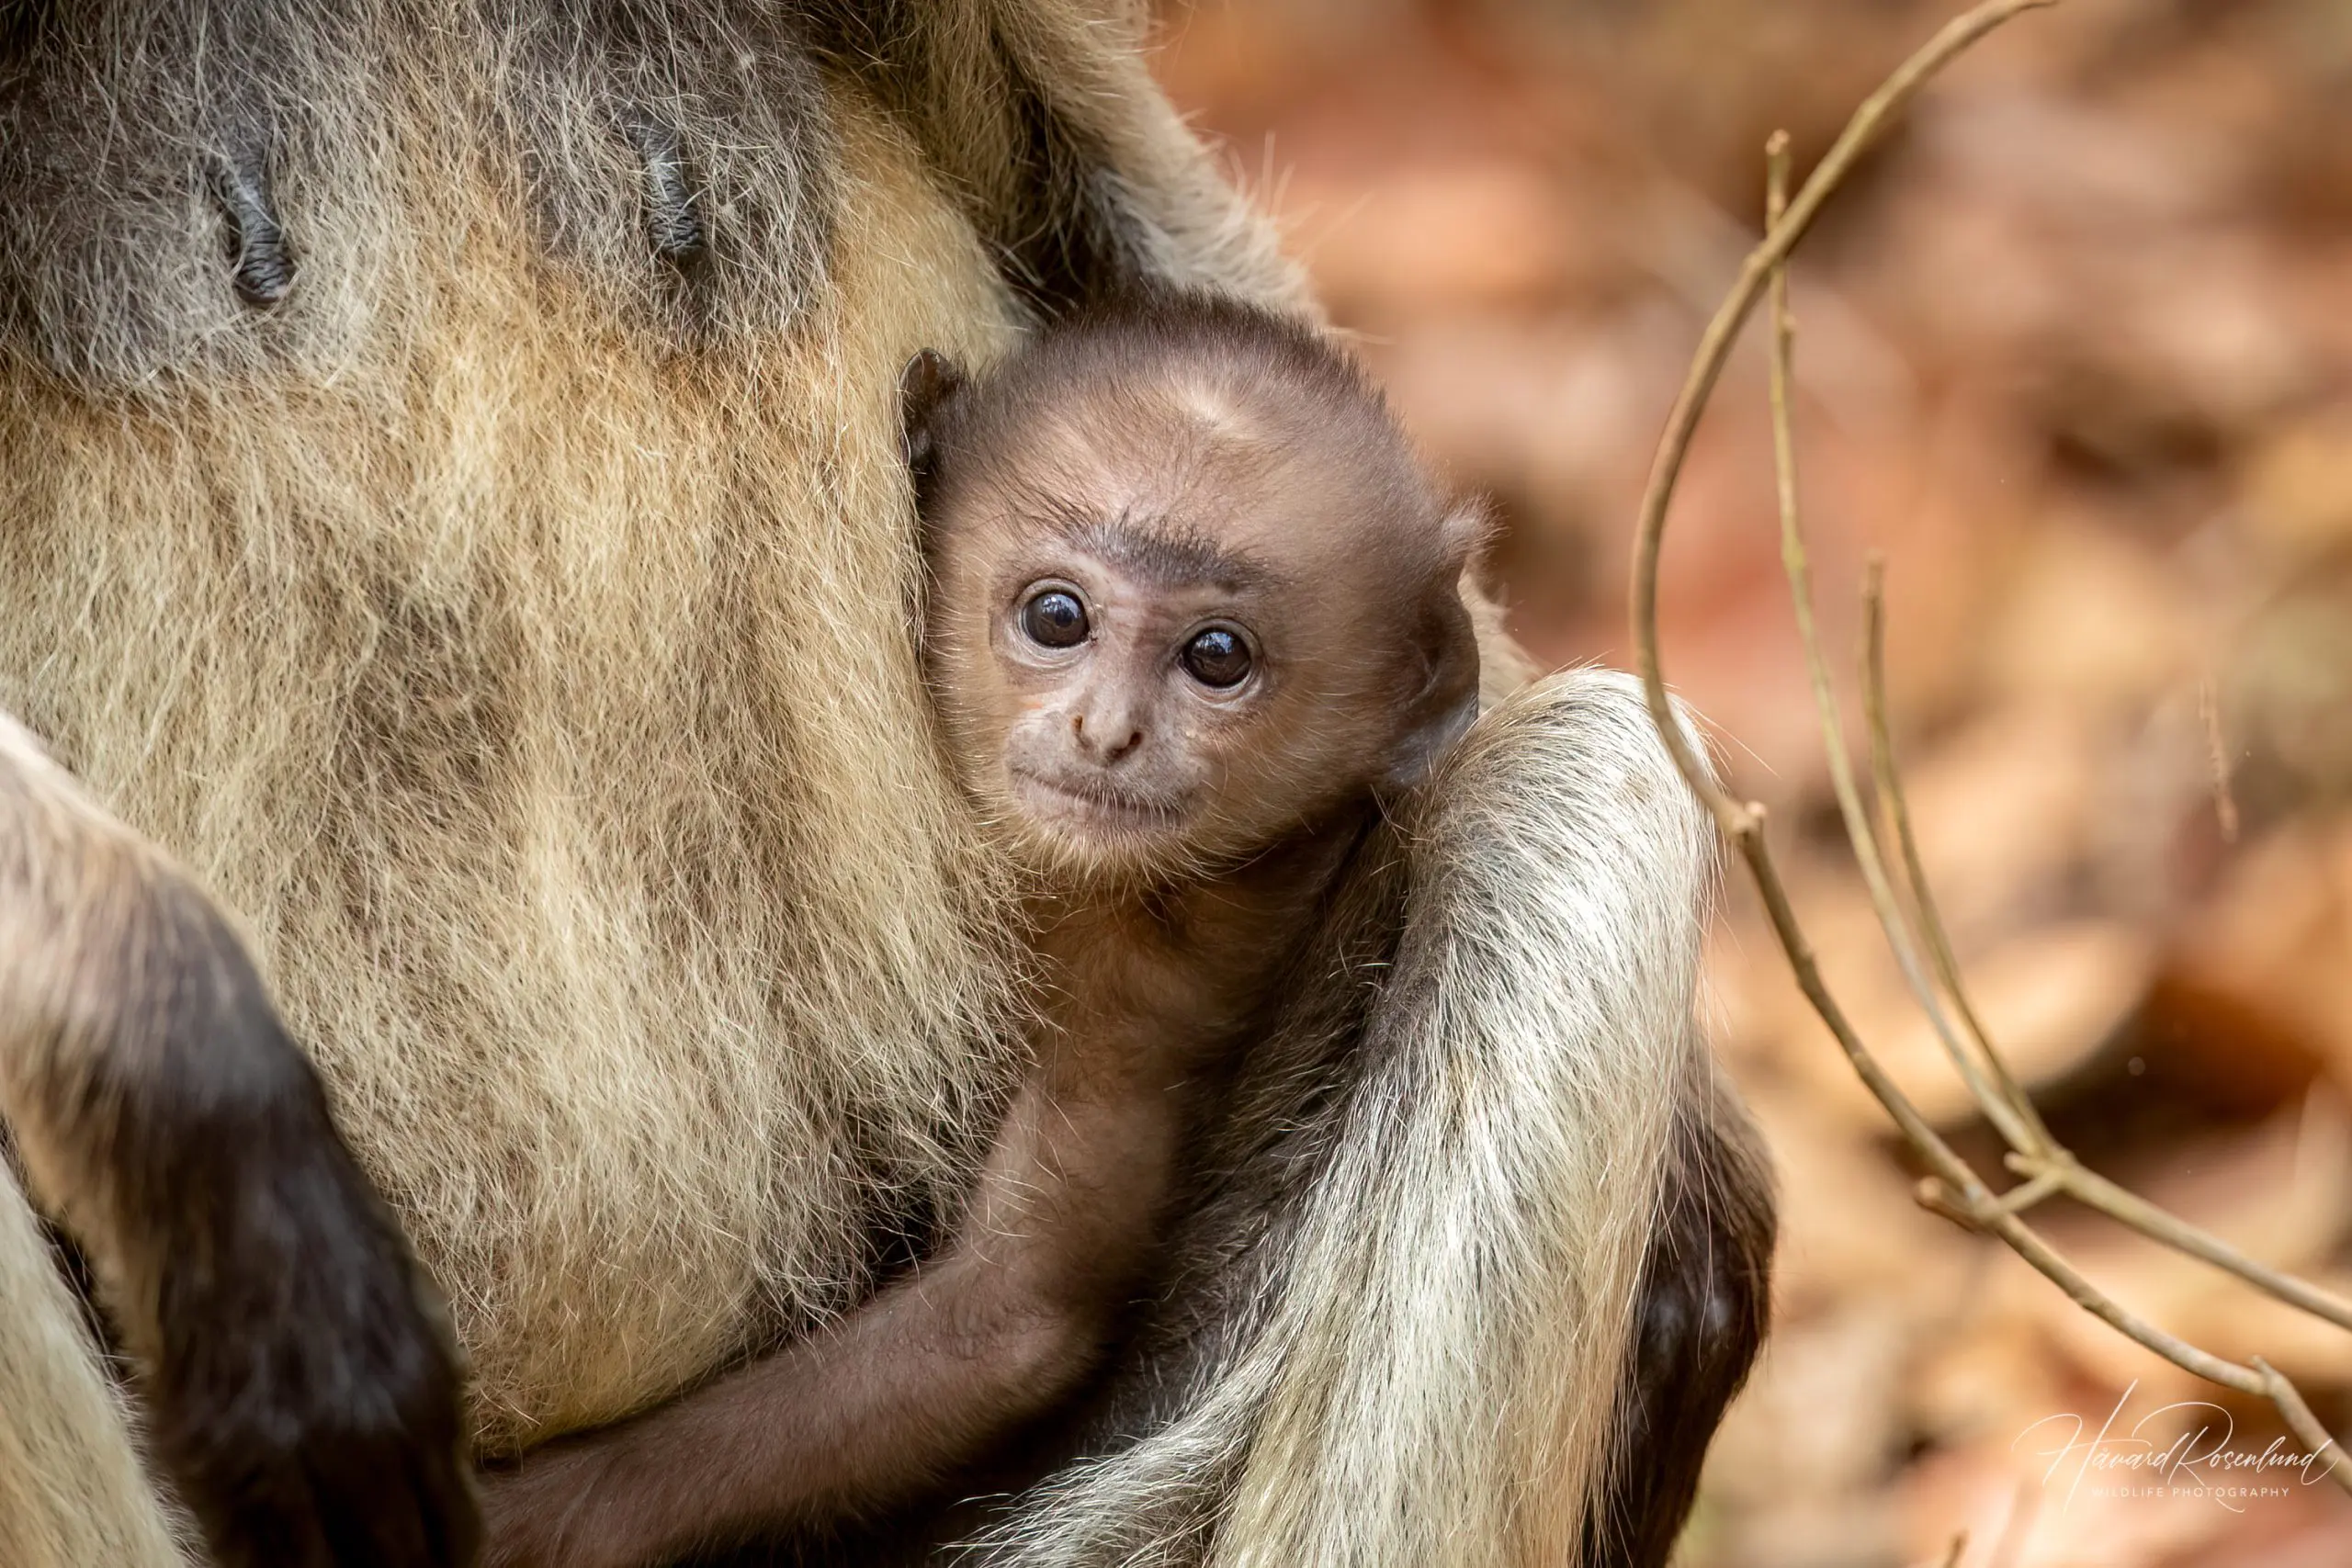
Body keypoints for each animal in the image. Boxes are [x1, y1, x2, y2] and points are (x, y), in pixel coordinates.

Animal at [481, 293, 1486, 1568]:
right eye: (1057, 617)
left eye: (1216, 657)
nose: (1107, 731)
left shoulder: (1148, 972)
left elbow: (1009, 1316)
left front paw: (514, 1516)